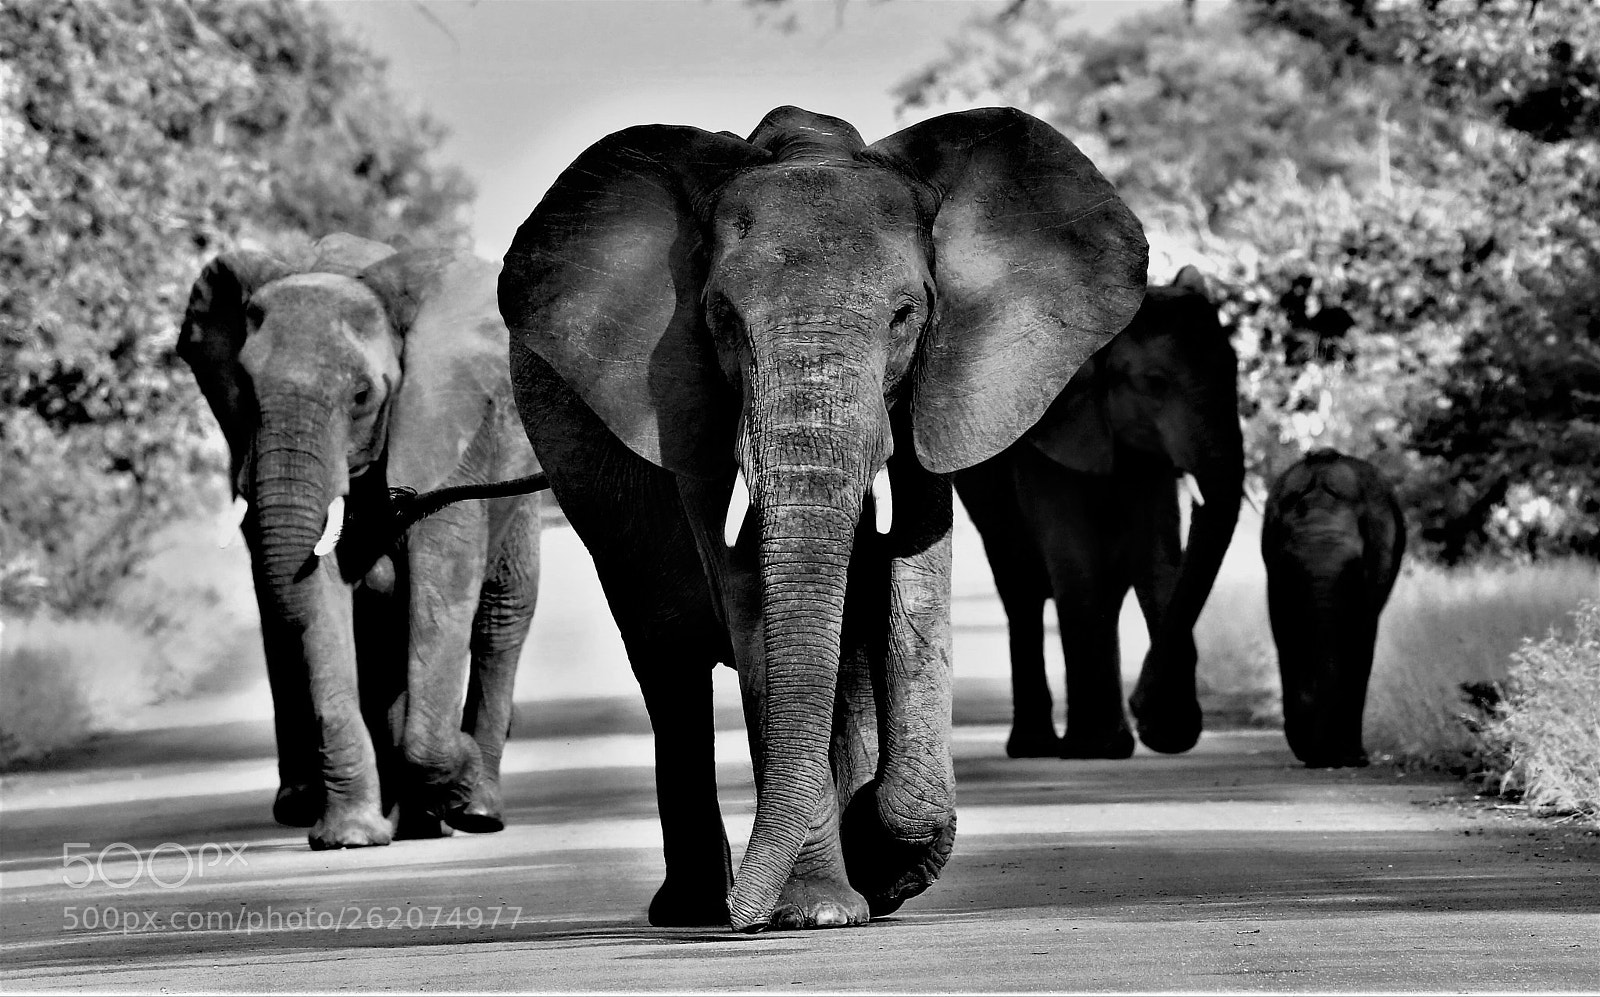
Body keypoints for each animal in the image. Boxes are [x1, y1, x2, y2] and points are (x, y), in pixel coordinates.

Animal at [178, 233, 544, 849]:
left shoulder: (447, 438)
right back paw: (398, 816)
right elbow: (315, 599)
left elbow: (441, 587)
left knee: (502, 615)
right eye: (245, 393)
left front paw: (457, 775)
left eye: (361, 396)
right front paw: (350, 836)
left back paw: (474, 813)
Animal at [498, 105, 1147, 931]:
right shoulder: (686, 403)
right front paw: (817, 910)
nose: (746, 911)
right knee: (667, 661)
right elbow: (750, 598)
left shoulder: (939, 390)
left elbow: (912, 582)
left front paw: (883, 861)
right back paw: (697, 905)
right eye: (721, 319)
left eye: (905, 316)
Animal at [955, 267, 1244, 759]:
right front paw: (1097, 747)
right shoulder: (1041, 433)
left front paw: (1165, 735)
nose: (1141, 704)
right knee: (1019, 588)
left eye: (1236, 371)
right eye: (1154, 382)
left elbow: (1158, 559)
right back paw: (1037, 748)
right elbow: (1075, 558)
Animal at [1262, 448, 1405, 768]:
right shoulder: (1275, 573)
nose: (1319, 758)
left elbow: (1359, 637)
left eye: (1354, 566)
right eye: (1290, 565)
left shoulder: (1376, 567)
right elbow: (1286, 634)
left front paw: (1351, 758)